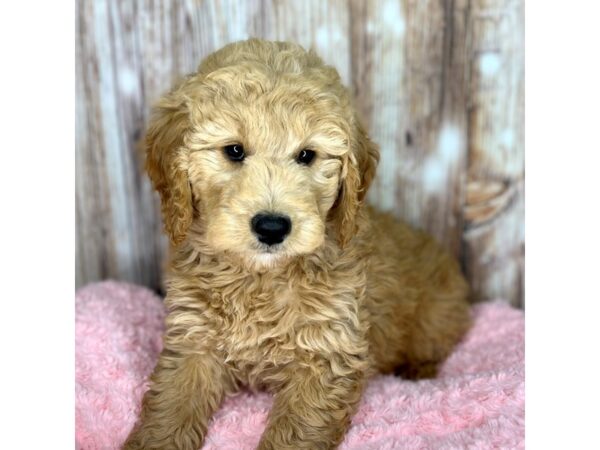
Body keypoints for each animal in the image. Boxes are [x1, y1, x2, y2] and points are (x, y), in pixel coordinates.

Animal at [124, 38, 472, 450]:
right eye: (234, 151)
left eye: (307, 155)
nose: (272, 227)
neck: (260, 278)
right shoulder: (193, 340)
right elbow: (171, 405)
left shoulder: (328, 352)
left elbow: (295, 431)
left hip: (437, 316)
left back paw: (418, 370)